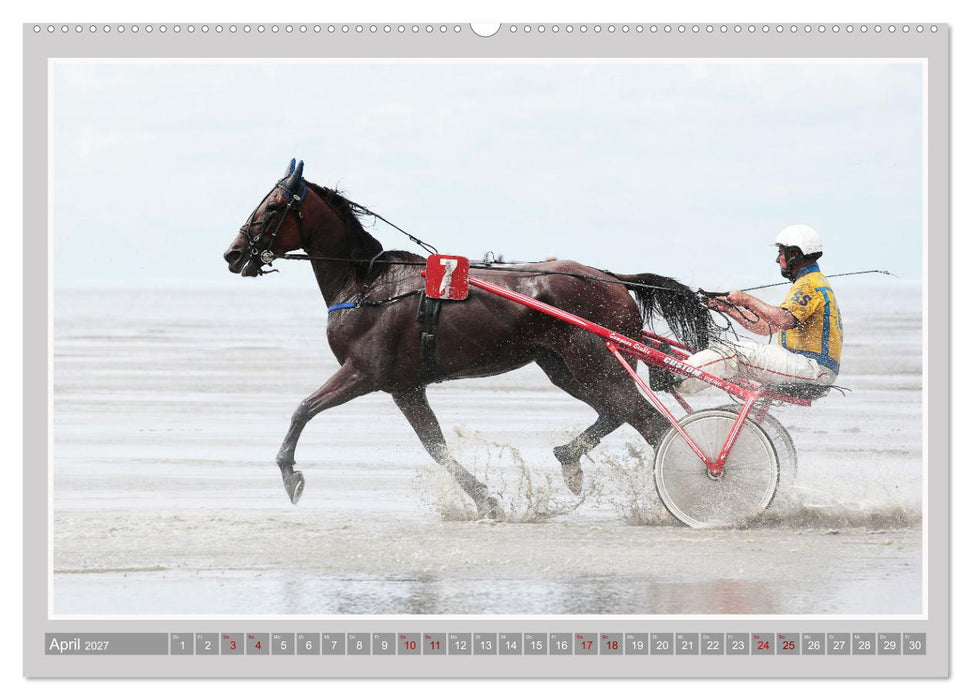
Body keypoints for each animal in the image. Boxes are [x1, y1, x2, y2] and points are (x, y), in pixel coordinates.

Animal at [223, 159, 716, 518]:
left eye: (272, 208)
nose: (233, 253)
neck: (367, 285)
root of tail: (612, 278)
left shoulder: (364, 372)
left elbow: (303, 408)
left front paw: (290, 475)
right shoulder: (405, 386)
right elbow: (435, 446)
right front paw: (486, 499)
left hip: (591, 361)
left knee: (646, 419)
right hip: (563, 366)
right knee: (617, 412)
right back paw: (570, 461)